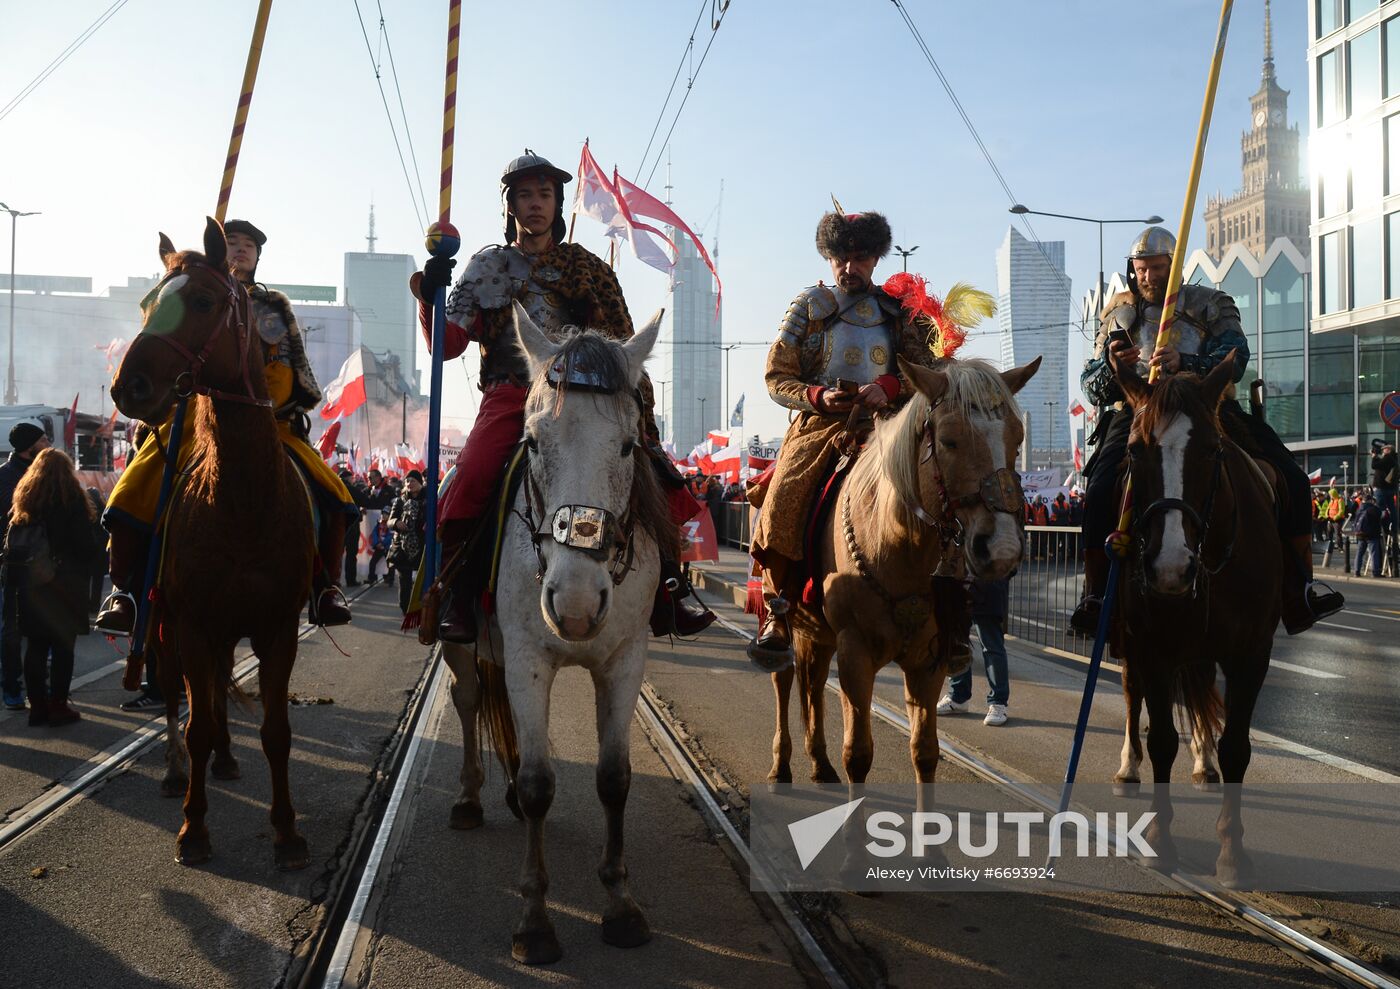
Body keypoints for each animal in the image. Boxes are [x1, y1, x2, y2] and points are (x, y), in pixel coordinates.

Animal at [111, 219, 315, 868]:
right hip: (166, 624)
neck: (242, 502)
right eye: (147, 304)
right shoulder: (194, 623)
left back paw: (226, 758)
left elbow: (276, 732)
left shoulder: (277, 627)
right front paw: (193, 829)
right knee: (178, 695)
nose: (129, 388)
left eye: (201, 302)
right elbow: (195, 721)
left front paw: (287, 832)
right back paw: (178, 771)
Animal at [445, 302, 669, 963]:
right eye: (532, 442)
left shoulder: (625, 659)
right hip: (461, 643)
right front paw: (535, 921)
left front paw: (621, 905)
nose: (574, 604)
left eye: (627, 446)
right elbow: (540, 782)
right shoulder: (526, 658)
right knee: (468, 700)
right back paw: (471, 798)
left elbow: (614, 778)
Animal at [772, 354, 1047, 784]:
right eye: (949, 440)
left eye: (1017, 439)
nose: (1001, 549)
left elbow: (925, 753)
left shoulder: (927, 662)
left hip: (817, 629)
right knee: (784, 678)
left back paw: (818, 762)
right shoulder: (855, 655)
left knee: (812, 681)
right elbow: (858, 754)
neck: (897, 545)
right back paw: (781, 764)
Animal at [1108, 353, 1276, 879]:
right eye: (1134, 451)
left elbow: (1237, 746)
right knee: (1132, 695)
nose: (1169, 569)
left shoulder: (1251, 654)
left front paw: (1233, 851)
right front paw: (1160, 840)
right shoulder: (1152, 647)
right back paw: (1128, 766)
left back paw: (1204, 764)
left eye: (1212, 449)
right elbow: (1161, 737)